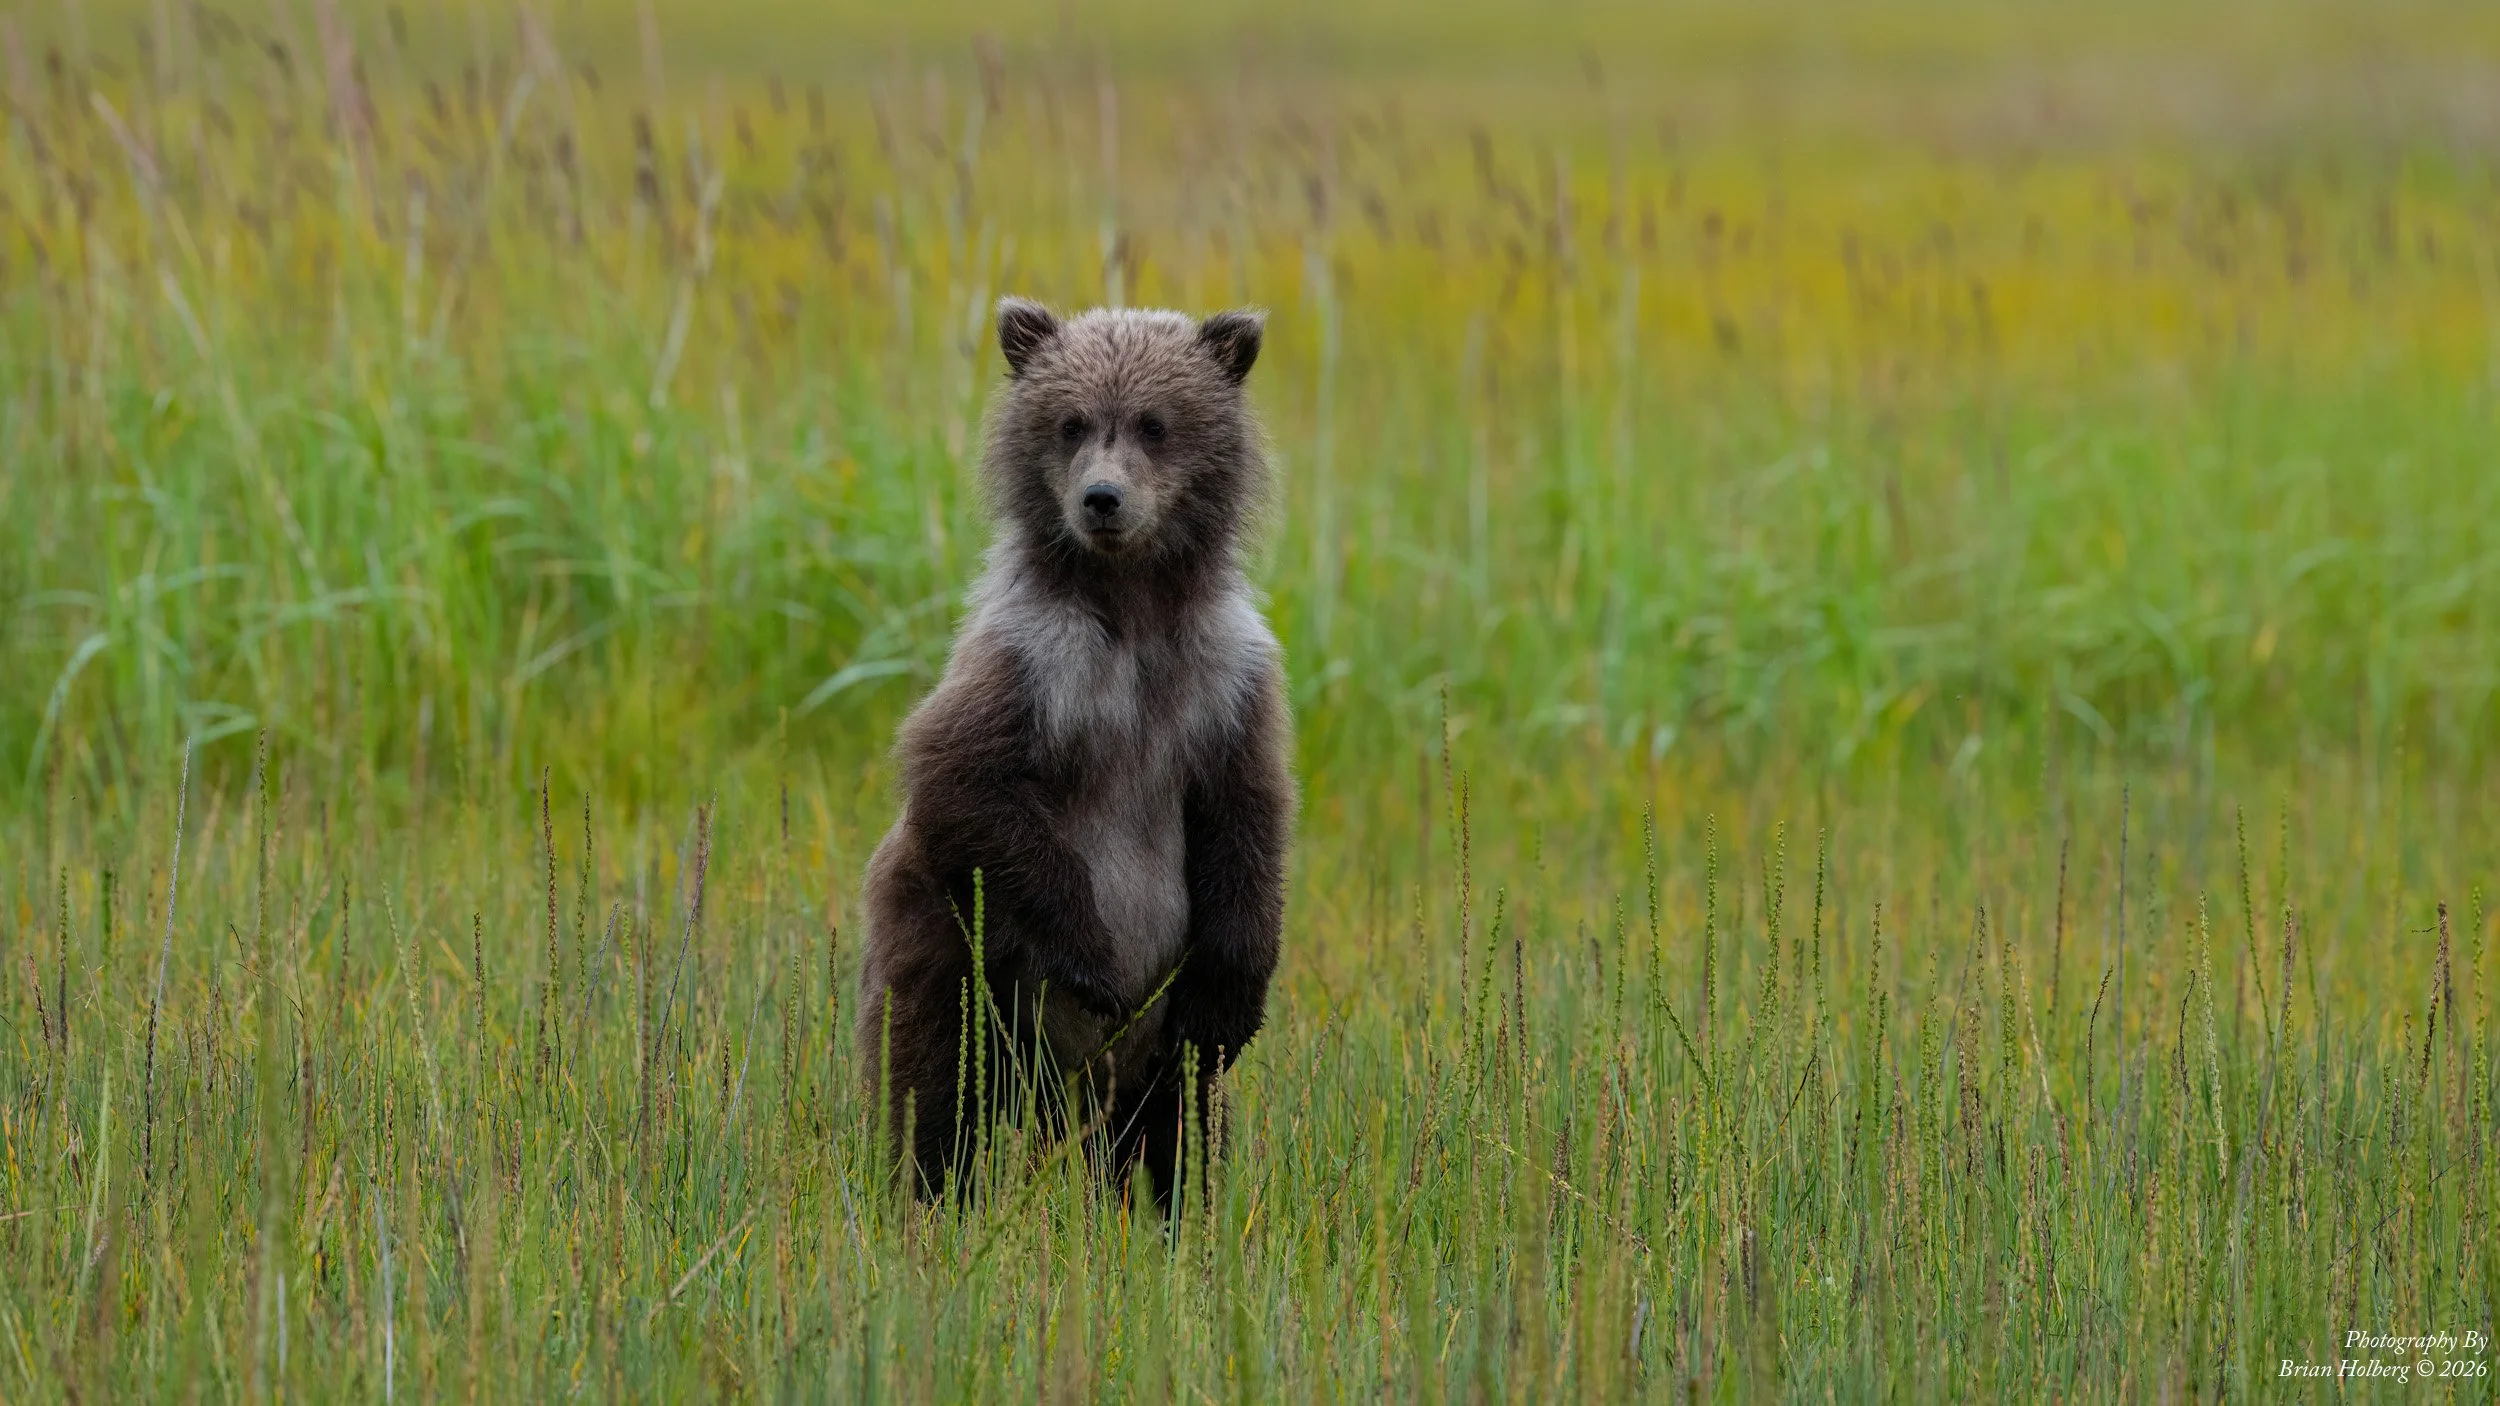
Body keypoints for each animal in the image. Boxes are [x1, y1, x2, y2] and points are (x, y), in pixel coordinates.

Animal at [856, 296, 1294, 1210]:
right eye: (1071, 423)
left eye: (1155, 423)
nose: (1102, 498)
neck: (1131, 606)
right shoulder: (1034, 663)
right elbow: (961, 776)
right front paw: (1095, 962)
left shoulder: (1225, 682)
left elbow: (1247, 820)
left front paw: (1233, 999)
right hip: (951, 947)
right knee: (938, 1082)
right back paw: (932, 1195)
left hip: (1149, 1064)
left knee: (1176, 1120)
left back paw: (1174, 1207)